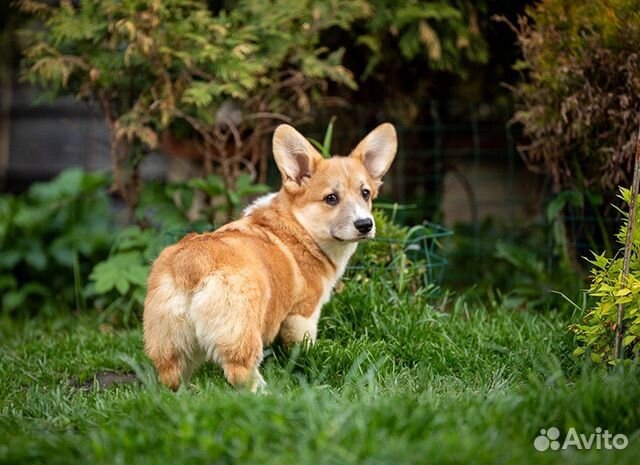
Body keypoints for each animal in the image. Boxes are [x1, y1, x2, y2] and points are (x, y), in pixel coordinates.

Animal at [142, 121, 398, 390]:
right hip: (240, 331)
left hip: (169, 342)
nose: (365, 224)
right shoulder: (303, 314)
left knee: (171, 375)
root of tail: (192, 264)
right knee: (240, 371)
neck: (300, 225)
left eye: (365, 193)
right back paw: (266, 392)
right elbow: (303, 345)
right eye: (331, 198)